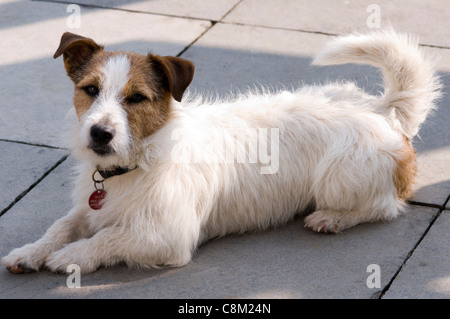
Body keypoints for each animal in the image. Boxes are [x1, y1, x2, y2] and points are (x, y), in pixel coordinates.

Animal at [2, 30, 440, 276]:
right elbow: (61, 226)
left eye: (137, 98)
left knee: (385, 205)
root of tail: (380, 108)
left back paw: (332, 218)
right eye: (90, 90)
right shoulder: (89, 208)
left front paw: (71, 256)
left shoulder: (167, 236)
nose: (99, 133)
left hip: (341, 178)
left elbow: (108, 238)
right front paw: (31, 251)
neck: (136, 163)